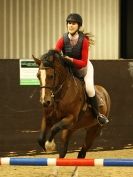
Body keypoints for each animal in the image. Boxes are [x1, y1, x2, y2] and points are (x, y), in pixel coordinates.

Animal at [32, 49, 110, 177]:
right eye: (38, 75)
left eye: (51, 76)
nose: (45, 102)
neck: (60, 94)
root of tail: (104, 91)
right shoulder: (48, 118)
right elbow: (40, 138)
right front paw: (46, 146)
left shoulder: (70, 118)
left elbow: (54, 128)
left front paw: (50, 145)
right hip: (70, 129)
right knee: (64, 151)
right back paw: (56, 172)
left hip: (93, 130)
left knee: (82, 152)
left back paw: (75, 173)